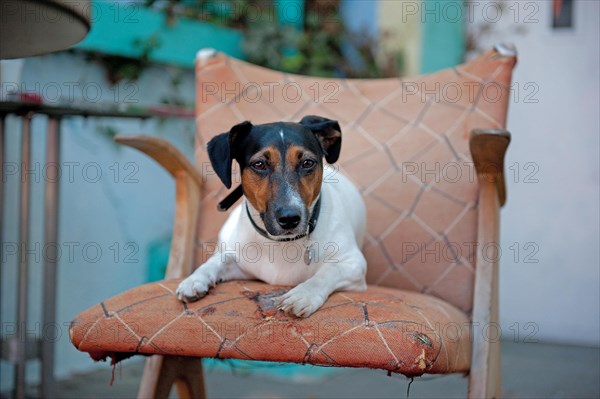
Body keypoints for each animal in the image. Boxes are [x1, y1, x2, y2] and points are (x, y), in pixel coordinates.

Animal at [176, 115, 368, 318]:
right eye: (259, 164)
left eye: (307, 163)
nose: (290, 218)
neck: (281, 243)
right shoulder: (240, 265)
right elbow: (217, 261)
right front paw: (195, 278)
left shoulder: (354, 264)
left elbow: (327, 272)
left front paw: (303, 294)